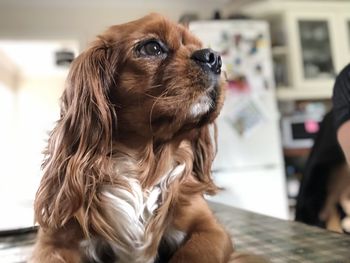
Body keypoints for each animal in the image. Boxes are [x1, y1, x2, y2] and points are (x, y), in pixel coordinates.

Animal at [32, 13, 235, 263]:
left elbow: (191, 254)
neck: (143, 165)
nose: (213, 57)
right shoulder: (53, 242)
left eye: (200, 46)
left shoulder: (210, 229)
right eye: (152, 47)